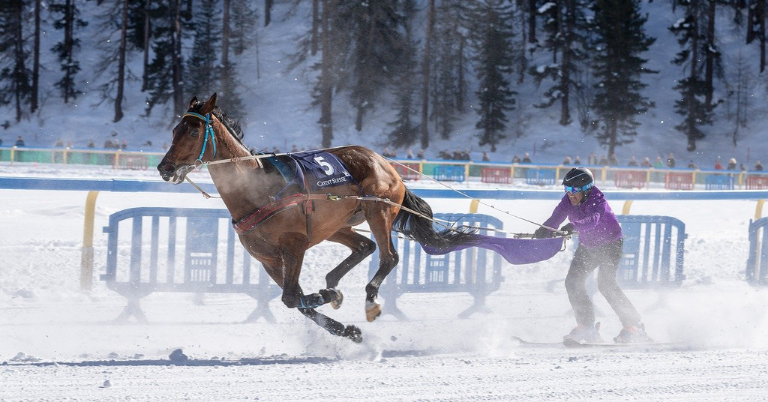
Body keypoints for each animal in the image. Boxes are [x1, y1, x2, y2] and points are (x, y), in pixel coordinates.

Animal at [158, 94, 474, 342]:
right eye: (174, 130)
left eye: (193, 131)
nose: (165, 168)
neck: (258, 188)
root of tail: (385, 163)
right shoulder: (269, 260)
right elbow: (297, 303)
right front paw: (346, 329)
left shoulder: (294, 245)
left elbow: (290, 297)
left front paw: (333, 299)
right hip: (335, 225)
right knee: (365, 246)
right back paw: (332, 282)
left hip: (379, 211)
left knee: (388, 257)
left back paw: (368, 300)